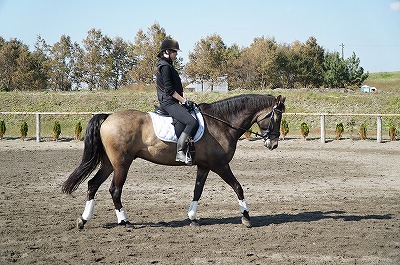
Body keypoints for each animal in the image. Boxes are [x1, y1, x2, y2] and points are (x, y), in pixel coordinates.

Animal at [61, 93, 284, 227]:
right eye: (277, 117)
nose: (273, 144)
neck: (222, 123)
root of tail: (108, 117)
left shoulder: (204, 166)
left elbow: (197, 191)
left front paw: (192, 218)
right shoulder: (220, 165)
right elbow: (238, 187)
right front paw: (246, 217)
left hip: (109, 163)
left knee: (92, 184)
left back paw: (83, 220)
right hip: (122, 163)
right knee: (114, 190)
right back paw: (124, 221)